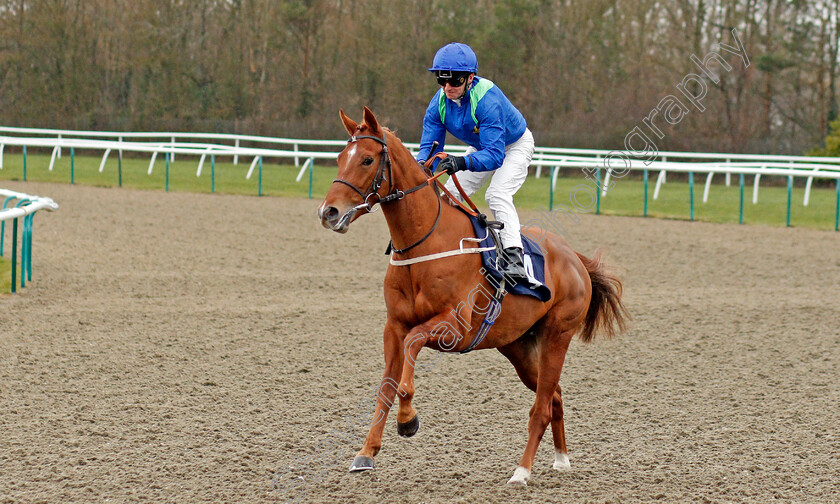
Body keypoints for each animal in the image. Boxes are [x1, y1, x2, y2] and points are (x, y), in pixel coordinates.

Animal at [318, 105, 628, 484]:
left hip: (558, 335)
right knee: (553, 394)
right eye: (338, 158)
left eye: (366, 159)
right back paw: (560, 459)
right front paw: (365, 453)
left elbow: (412, 349)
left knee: (541, 406)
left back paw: (521, 471)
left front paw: (408, 421)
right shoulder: (393, 325)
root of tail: (574, 258)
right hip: (518, 345)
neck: (425, 243)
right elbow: (386, 386)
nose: (328, 212)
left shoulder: (454, 326)